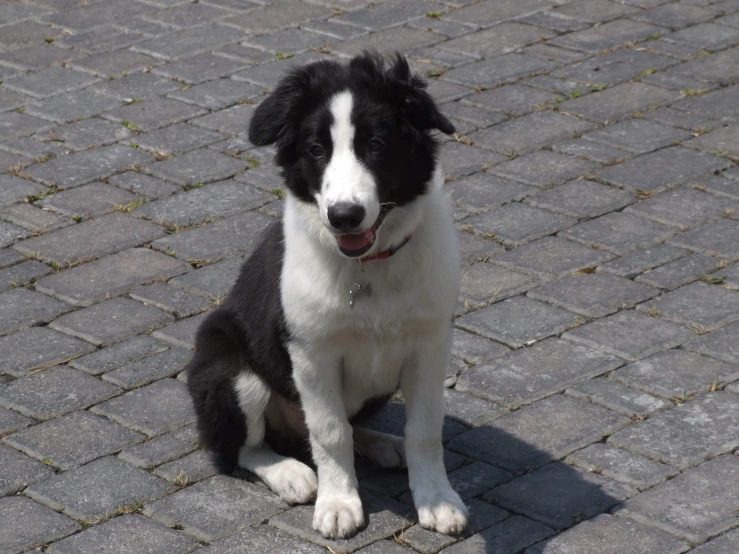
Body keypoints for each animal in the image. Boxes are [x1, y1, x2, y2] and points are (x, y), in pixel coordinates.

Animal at [189, 50, 468, 536]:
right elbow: (330, 430)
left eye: (376, 144)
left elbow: (425, 428)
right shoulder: (311, 352)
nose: (344, 216)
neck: (368, 266)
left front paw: (437, 499)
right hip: (227, 366)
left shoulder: (431, 342)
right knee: (242, 447)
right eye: (316, 151)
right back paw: (292, 474)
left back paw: (381, 444)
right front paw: (338, 503)